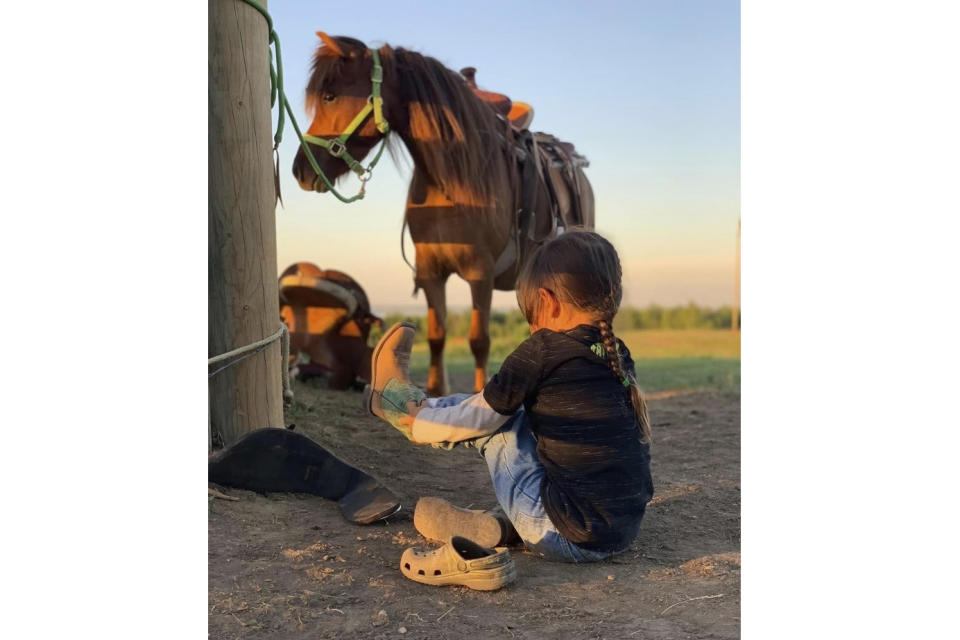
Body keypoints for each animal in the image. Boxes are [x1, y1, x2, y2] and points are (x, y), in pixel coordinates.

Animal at [290, 35, 592, 398]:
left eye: (330, 96)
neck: (450, 181)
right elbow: (436, 335)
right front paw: (434, 391)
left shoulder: (480, 273)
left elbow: (479, 340)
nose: (300, 170)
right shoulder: (430, 271)